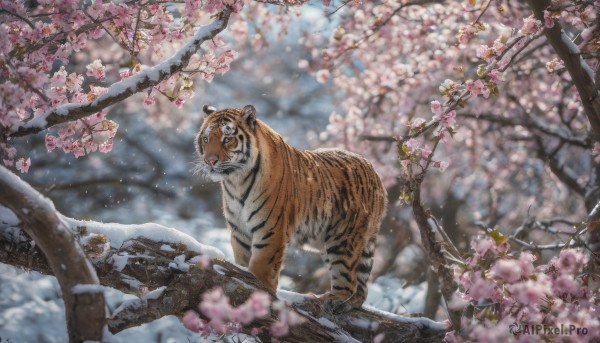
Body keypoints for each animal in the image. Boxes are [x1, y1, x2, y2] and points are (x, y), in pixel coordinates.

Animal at [195, 104, 386, 312]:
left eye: (227, 139)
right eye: (206, 139)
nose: (209, 161)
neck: (236, 181)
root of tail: (375, 173)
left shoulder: (271, 228)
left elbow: (262, 265)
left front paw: (261, 288)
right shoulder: (240, 231)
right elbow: (243, 259)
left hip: (343, 240)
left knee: (347, 281)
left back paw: (330, 299)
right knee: (361, 287)